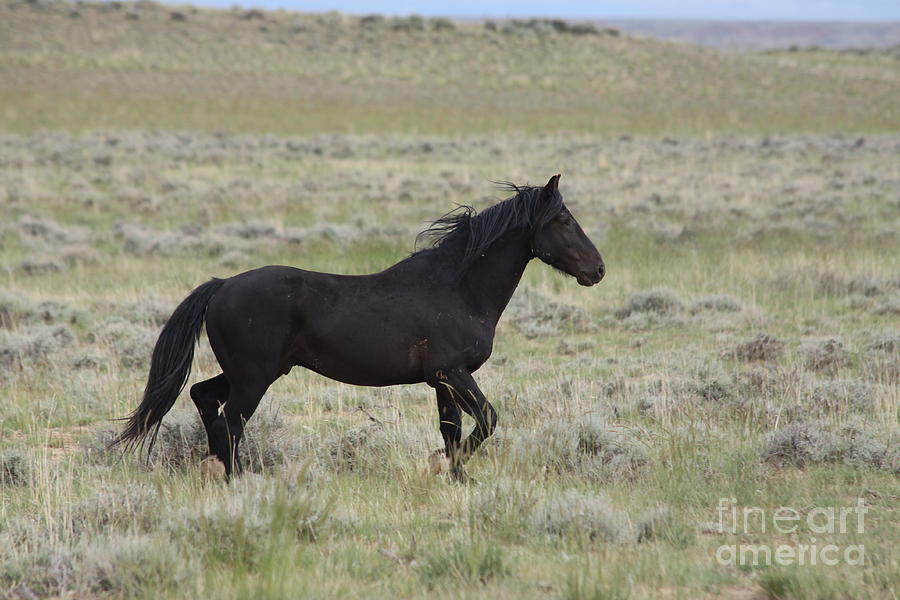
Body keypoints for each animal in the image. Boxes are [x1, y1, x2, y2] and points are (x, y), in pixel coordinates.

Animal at [114, 173, 604, 478]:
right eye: (563, 219)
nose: (597, 270)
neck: (456, 288)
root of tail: (221, 286)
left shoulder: (442, 382)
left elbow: (451, 432)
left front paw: (456, 478)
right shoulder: (452, 373)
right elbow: (485, 421)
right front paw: (441, 466)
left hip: (248, 372)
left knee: (204, 398)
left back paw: (215, 468)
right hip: (254, 378)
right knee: (230, 422)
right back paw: (232, 478)